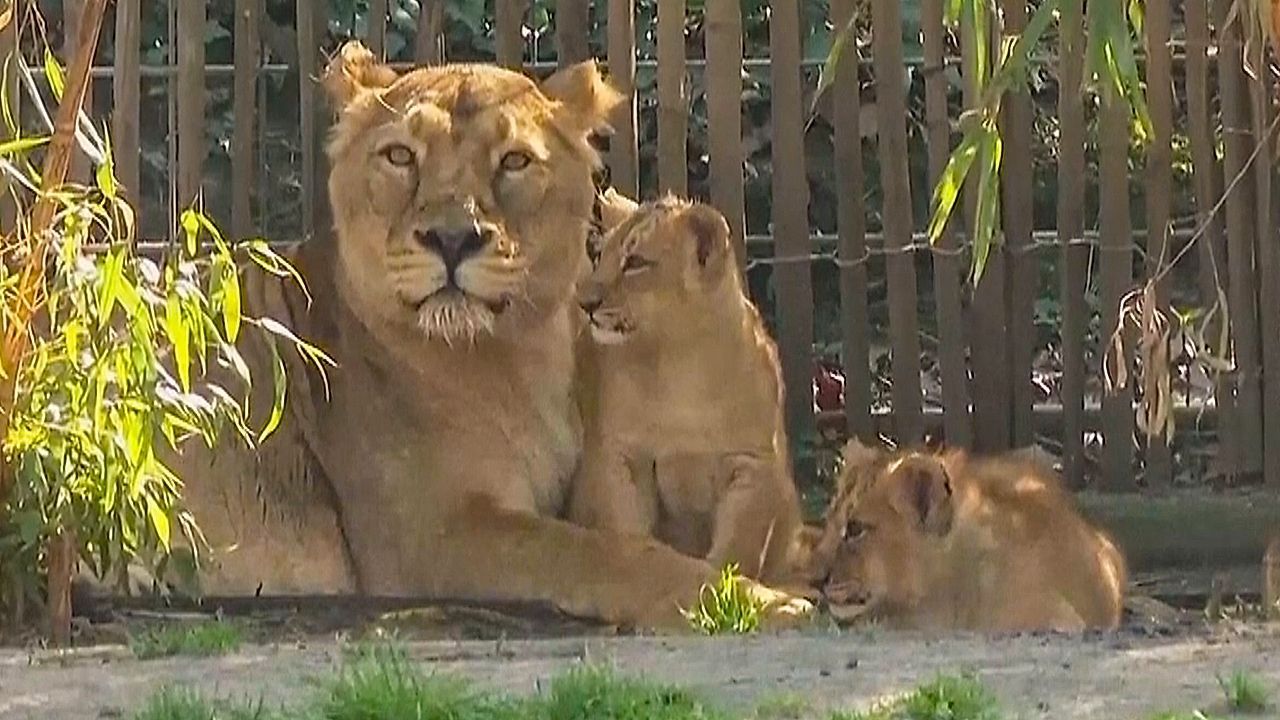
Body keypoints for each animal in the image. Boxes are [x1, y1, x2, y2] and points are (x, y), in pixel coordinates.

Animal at [567, 197, 805, 586]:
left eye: (636, 262)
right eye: (599, 257)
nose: (584, 302)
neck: (679, 365)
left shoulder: (752, 464)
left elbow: (739, 546)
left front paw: (727, 588)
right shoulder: (624, 456)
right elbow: (626, 528)